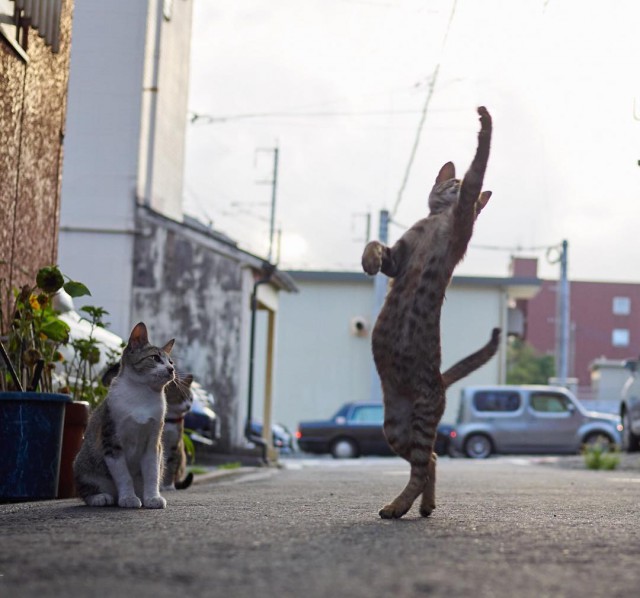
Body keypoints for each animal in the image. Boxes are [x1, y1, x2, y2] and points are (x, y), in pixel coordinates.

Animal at [73, 324, 175, 510]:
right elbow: (123, 476)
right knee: (86, 488)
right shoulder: (111, 441)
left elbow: (152, 473)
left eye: (171, 362)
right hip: (83, 463)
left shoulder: (153, 442)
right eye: (155, 358)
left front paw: (152, 498)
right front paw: (128, 498)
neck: (141, 394)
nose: (171, 370)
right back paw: (100, 497)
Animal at [362, 105, 492, 516]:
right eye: (448, 183)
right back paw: (421, 506)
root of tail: (441, 382)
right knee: (430, 461)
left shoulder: (463, 214)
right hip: (394, 426)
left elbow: (480, 161)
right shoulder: (398, 257)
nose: (452, 189)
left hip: (417, 419)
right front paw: (368, 260)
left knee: (424, 464)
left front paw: (485, 121)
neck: (440, 218)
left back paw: (399, 507)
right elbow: (376, 244)